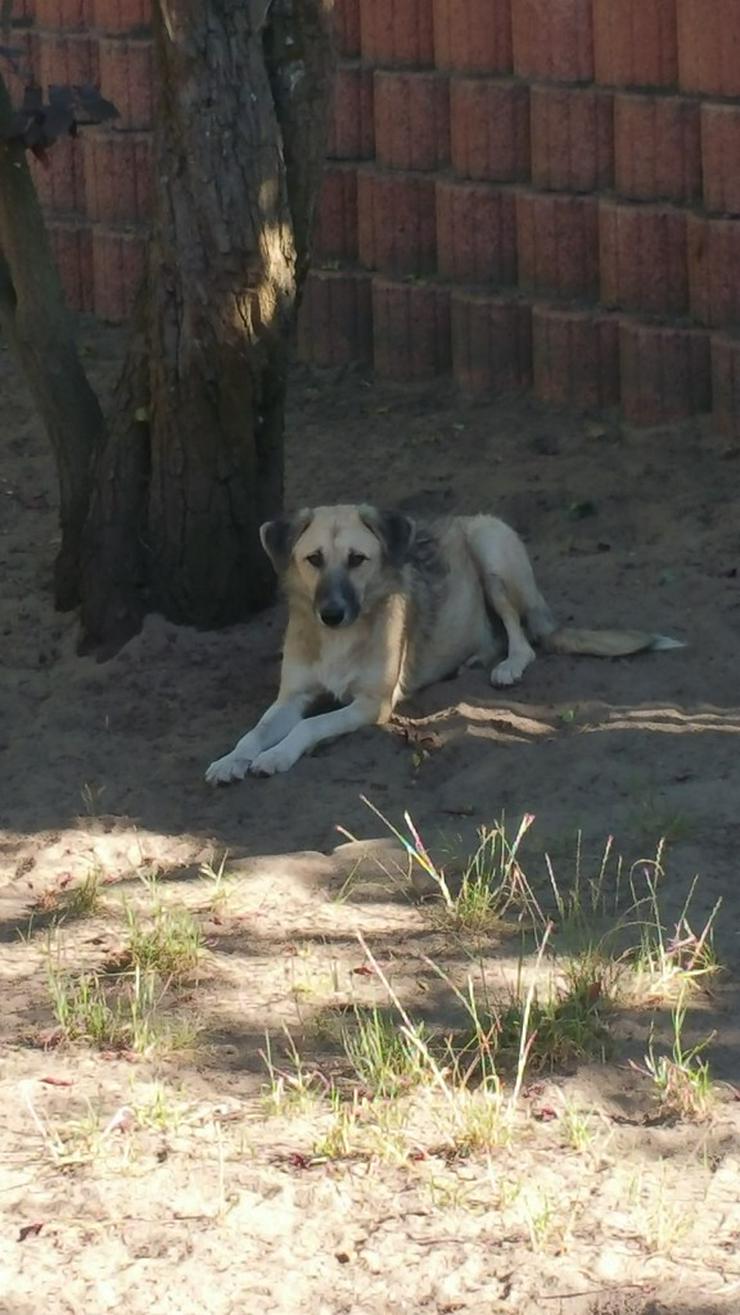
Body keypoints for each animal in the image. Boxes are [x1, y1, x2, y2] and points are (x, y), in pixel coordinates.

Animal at [203, 497, 683, 773]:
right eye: (314, 559)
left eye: (358, 559)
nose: (332, 614)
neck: (342, 638)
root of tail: (463, 517)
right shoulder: (291, 697)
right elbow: (256, 730)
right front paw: (232, 759)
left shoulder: (372, 704)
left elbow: (310, 726)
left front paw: (276, 756)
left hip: (489, 548)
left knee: (523, 638)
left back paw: (507, 666)